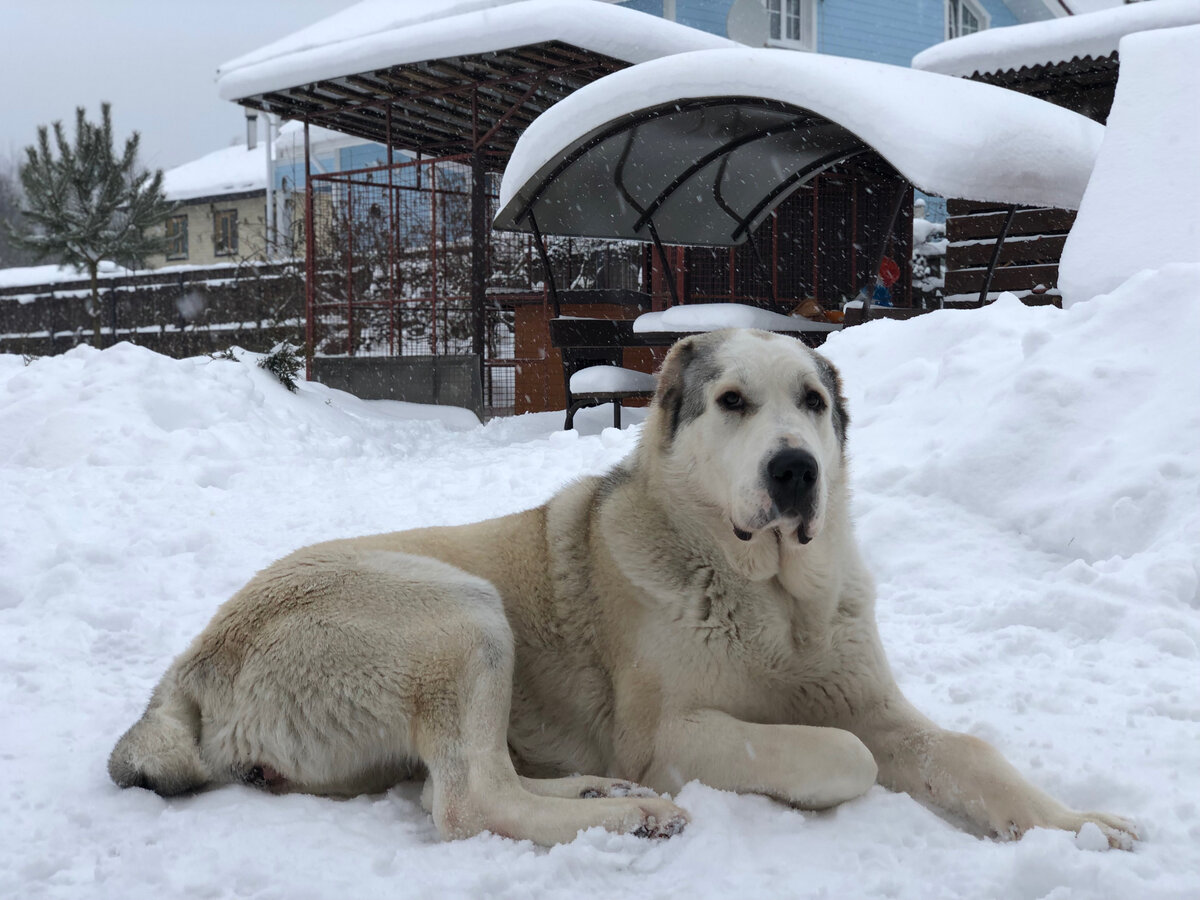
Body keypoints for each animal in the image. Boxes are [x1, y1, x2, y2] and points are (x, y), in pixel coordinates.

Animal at [110, 328, 1132, 844]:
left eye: (812, 402)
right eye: (732, 403)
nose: (796, 470)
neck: (772, 600)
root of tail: (185, 672)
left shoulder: (876, 704)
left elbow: (969, 754)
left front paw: (1078, 827)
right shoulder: (673, 734)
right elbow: (846, 755)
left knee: (482, 774)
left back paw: (599, 791)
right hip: (460, 611)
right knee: (469, 801)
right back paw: (633, 812)